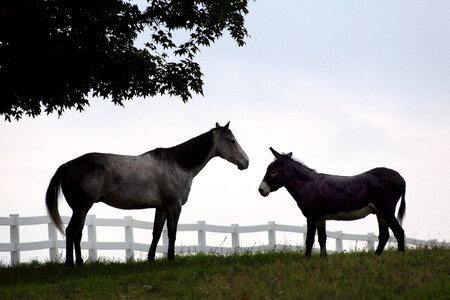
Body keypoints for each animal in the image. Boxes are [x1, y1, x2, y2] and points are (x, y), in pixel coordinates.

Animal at [46, 122, 250, 264]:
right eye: (232, 141)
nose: (246, 162)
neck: (178, 165)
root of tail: (68, 165)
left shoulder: (161, 208)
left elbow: (157, 233)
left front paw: (151, 258)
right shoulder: (174, 206)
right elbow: (172, 233)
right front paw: (171, 259)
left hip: (81, 209)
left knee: (76, 233)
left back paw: (78, 262)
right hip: (81, 208)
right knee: (72, 232)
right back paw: (72, 263)